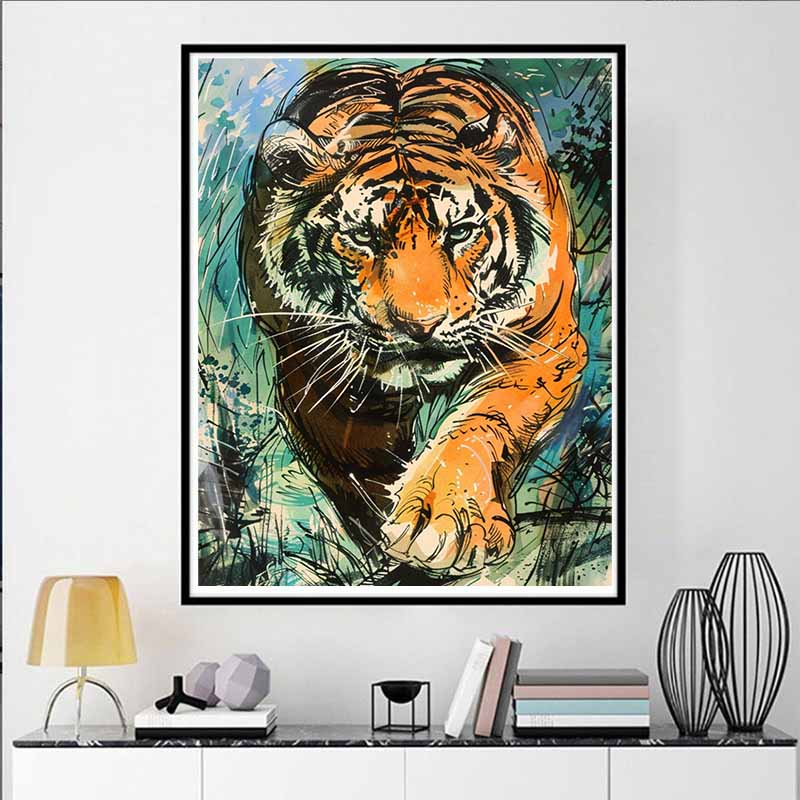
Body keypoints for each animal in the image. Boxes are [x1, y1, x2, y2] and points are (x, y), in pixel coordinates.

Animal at [239, 60, 588, 580]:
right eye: (362, 236)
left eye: (460, 232)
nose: (419, 326)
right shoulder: (316, 376)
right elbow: (361, 471)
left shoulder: (543, 346)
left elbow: (480, 423)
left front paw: (445, 520)